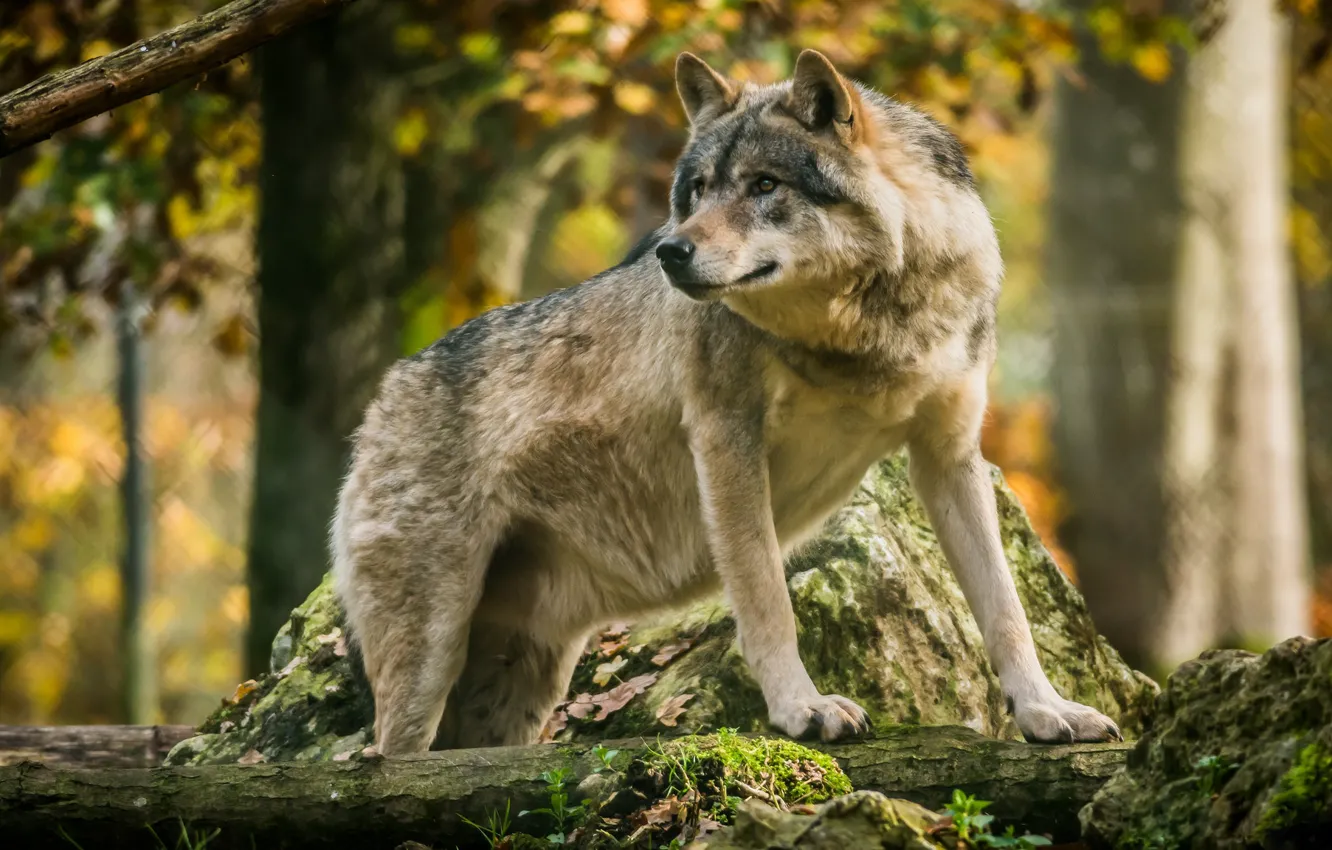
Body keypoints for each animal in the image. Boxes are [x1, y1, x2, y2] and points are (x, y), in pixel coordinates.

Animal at [333, 49, 1124, 756]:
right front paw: (803, 710)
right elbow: (767, 598)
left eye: (764, 184)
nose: (669, 251)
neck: (860, 337)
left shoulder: (949, 458)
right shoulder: (726, 441)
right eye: (700, 189)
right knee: (390, 758)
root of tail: (384, 395)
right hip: (433, 657)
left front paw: (1047, 712)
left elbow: (1006, 609)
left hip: (523, 678)